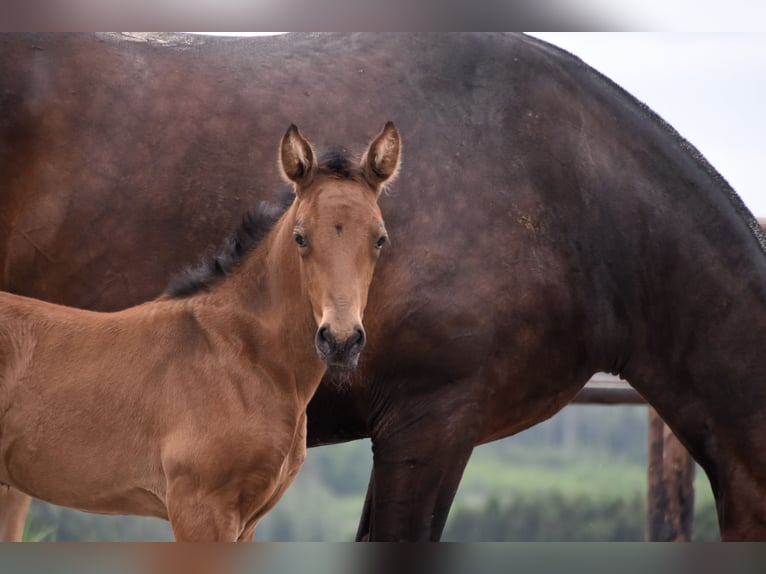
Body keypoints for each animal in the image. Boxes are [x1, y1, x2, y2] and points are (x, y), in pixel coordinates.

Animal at [0, 121, 404, 540]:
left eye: (379, 238)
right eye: (300, 236)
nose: (340, 341)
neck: (243, 353)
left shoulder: (246, 522)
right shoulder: (200, 507)